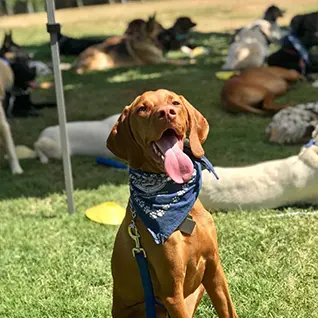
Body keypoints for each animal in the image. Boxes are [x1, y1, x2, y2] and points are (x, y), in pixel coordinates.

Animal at [108, 89, 237, 318]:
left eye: (175, 103)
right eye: (142, 109)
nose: (167, 113)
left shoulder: (215, 271)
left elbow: (229, 311)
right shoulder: (172, 293)